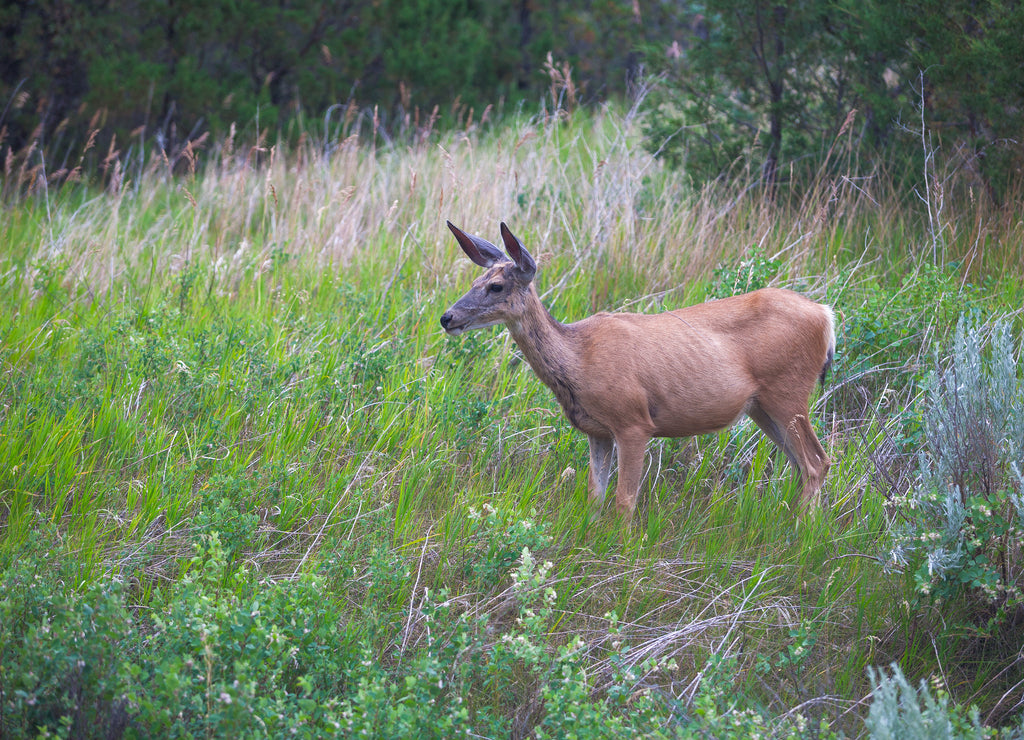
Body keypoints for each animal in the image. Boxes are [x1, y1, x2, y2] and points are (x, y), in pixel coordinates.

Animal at [440, 221, 835, 523]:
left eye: (496, 286)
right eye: (473, 283)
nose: (447, 317)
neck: (578, 359)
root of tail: (826, 316)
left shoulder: (634, 421)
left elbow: (624, 501)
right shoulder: (596, 430)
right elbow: (594, 495)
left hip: (788, 390)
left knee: (817, 462)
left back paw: (801, 535)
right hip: (760, 407)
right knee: (802, 465)